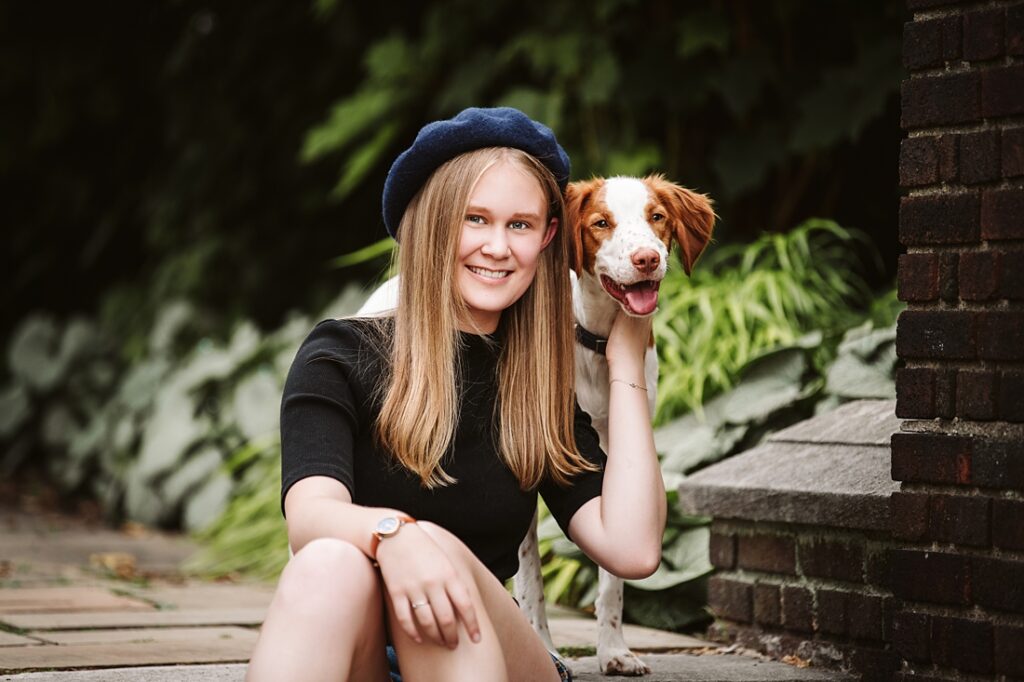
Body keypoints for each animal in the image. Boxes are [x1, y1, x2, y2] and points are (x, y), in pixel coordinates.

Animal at [512, 175, 712, 675]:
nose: (647, 259)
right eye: (601, 223)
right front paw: (541, 649)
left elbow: (613, 580)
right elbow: (530, 578)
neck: (595, 341)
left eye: (657, 216)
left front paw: (614, 649)